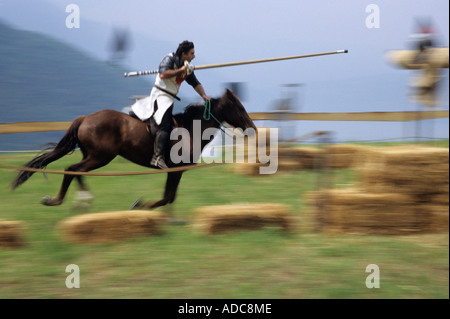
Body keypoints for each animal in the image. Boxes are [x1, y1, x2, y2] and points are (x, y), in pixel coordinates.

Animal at [11, 90, 256, 210]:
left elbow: (169, 197)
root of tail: (85, 118)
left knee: (76, 170)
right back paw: (67, 200)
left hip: (92, 156)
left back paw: (77, 200)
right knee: (72, 169)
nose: (252, 128)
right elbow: (167, 198)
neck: (190, 128)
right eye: (239, 107)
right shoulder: (175, 170)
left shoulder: (175, 172)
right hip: (100, 157)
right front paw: (140, 205)